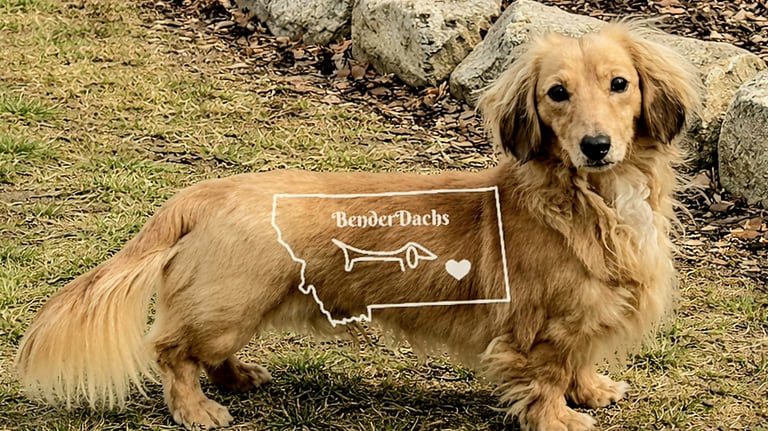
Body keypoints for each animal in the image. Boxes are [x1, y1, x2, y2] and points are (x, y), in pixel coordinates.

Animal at [16, 22, 700, 430]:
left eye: (620, 84)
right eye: (557, 93)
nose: (595, 146)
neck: (593, 202)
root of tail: (203, 192)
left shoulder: (584, 317)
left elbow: (579, 362)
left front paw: (594, 390)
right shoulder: (541, 331)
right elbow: (548, 375)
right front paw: (560, 417)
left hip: (242, 307)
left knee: (208, 353)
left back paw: (240, 377)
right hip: (229, 306)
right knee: (172, 352)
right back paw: (197, 409)